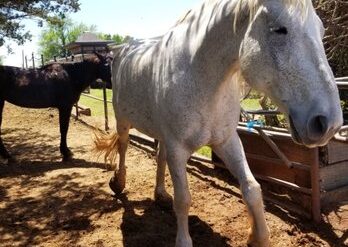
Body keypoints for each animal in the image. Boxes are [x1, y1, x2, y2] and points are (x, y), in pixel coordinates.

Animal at [95, 0, 342, 246]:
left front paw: (257, 237)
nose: (329, 123)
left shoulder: (227, 141)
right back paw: (118, 183)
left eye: (321, 31)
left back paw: (160, 194)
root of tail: (123, 50)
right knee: (123, 147)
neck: (201, 78)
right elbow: (183, 199)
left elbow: (252, 188)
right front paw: (183, 240)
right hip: (123, 121)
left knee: (159, 155)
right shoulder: (178, 149)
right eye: (280, 29)